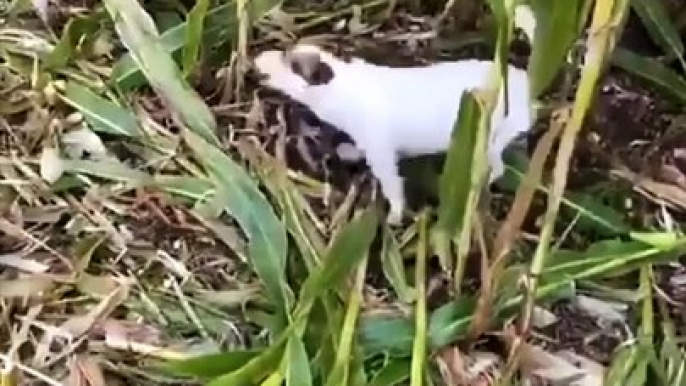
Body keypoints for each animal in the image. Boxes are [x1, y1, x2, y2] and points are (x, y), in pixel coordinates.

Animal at [255, 43, 536, 223]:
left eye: (291, 65)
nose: (257, 58)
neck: (342, 87)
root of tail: (525, 85)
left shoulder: (381, 152)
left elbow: (392, 185)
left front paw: (394, 216)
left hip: (491, 140)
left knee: (497, 168)